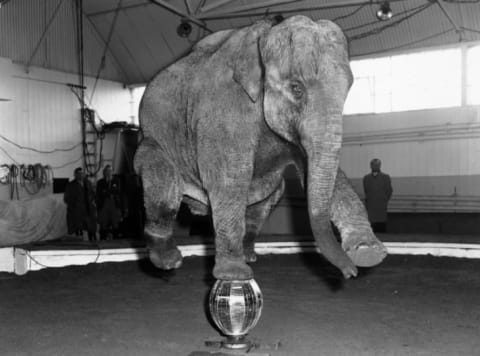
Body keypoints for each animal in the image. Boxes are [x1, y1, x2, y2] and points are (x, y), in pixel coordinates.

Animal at [133, 15, 388, 282]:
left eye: (349, 89)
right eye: (297, 88)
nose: (350, 272)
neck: (266, 34)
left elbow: (324, 173)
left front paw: (368, 252)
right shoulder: (223, 108)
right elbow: (229, 178)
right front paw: (233, 274)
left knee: (272, 195)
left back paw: (248, 255)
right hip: (150, 141)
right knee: (161, 177)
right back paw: (168, 260)